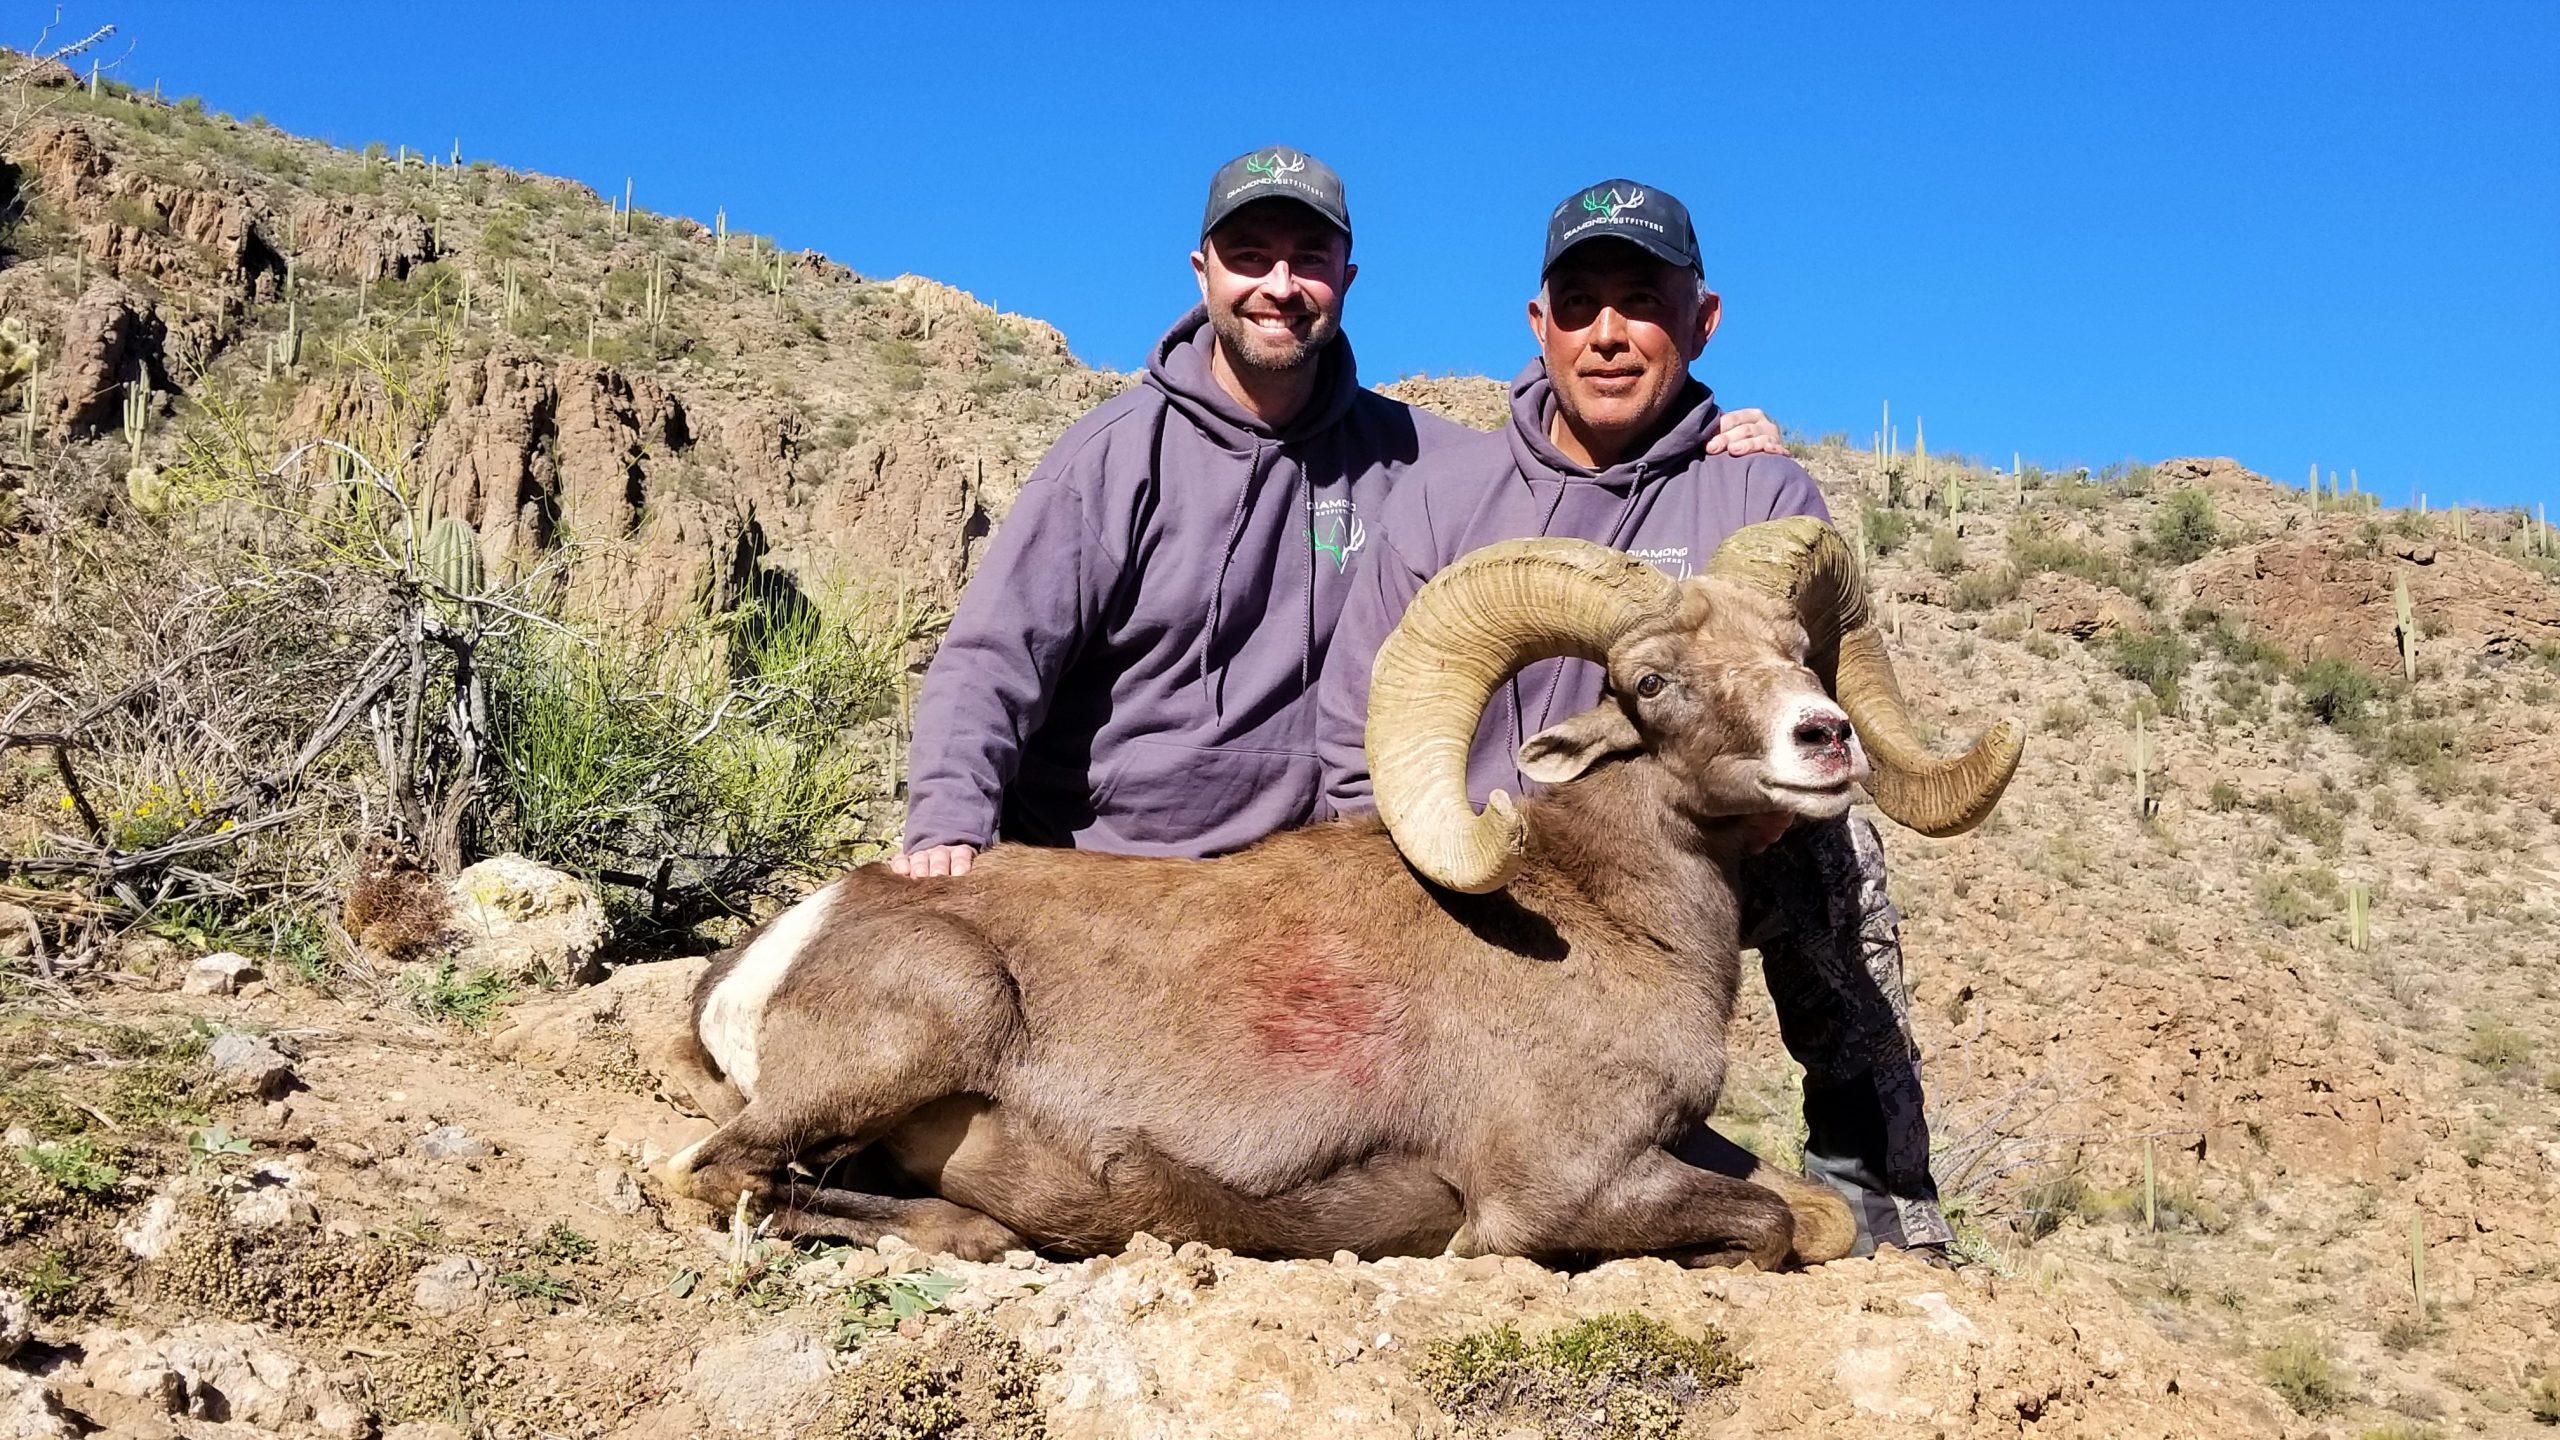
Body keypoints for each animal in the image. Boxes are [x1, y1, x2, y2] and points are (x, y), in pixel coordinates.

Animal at [665, 518, 2023, 1270]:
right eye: (1652, 683)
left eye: (1795, 653)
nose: (1824, 738)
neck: (1607, 923)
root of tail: (766, 958)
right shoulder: (1563, 1190)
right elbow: (1767, 1231)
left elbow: (1821, 1217)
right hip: (925, 1022)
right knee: (724, 1179)